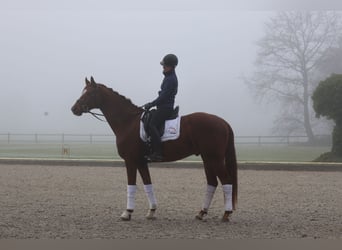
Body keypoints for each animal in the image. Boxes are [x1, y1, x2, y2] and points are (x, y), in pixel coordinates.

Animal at [71, 77, 238, 222]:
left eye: (89, 93)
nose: (74, 109)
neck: (128, 122)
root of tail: (223, 122)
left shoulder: (130, 161)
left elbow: (131, 185)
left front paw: (127, 212)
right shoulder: (141, 162)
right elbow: (148, 185)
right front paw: (151, 211)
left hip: (214, 159)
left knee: (226, 181)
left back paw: (226, 214)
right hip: (207, 159)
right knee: (212, 183)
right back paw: (202, 213)